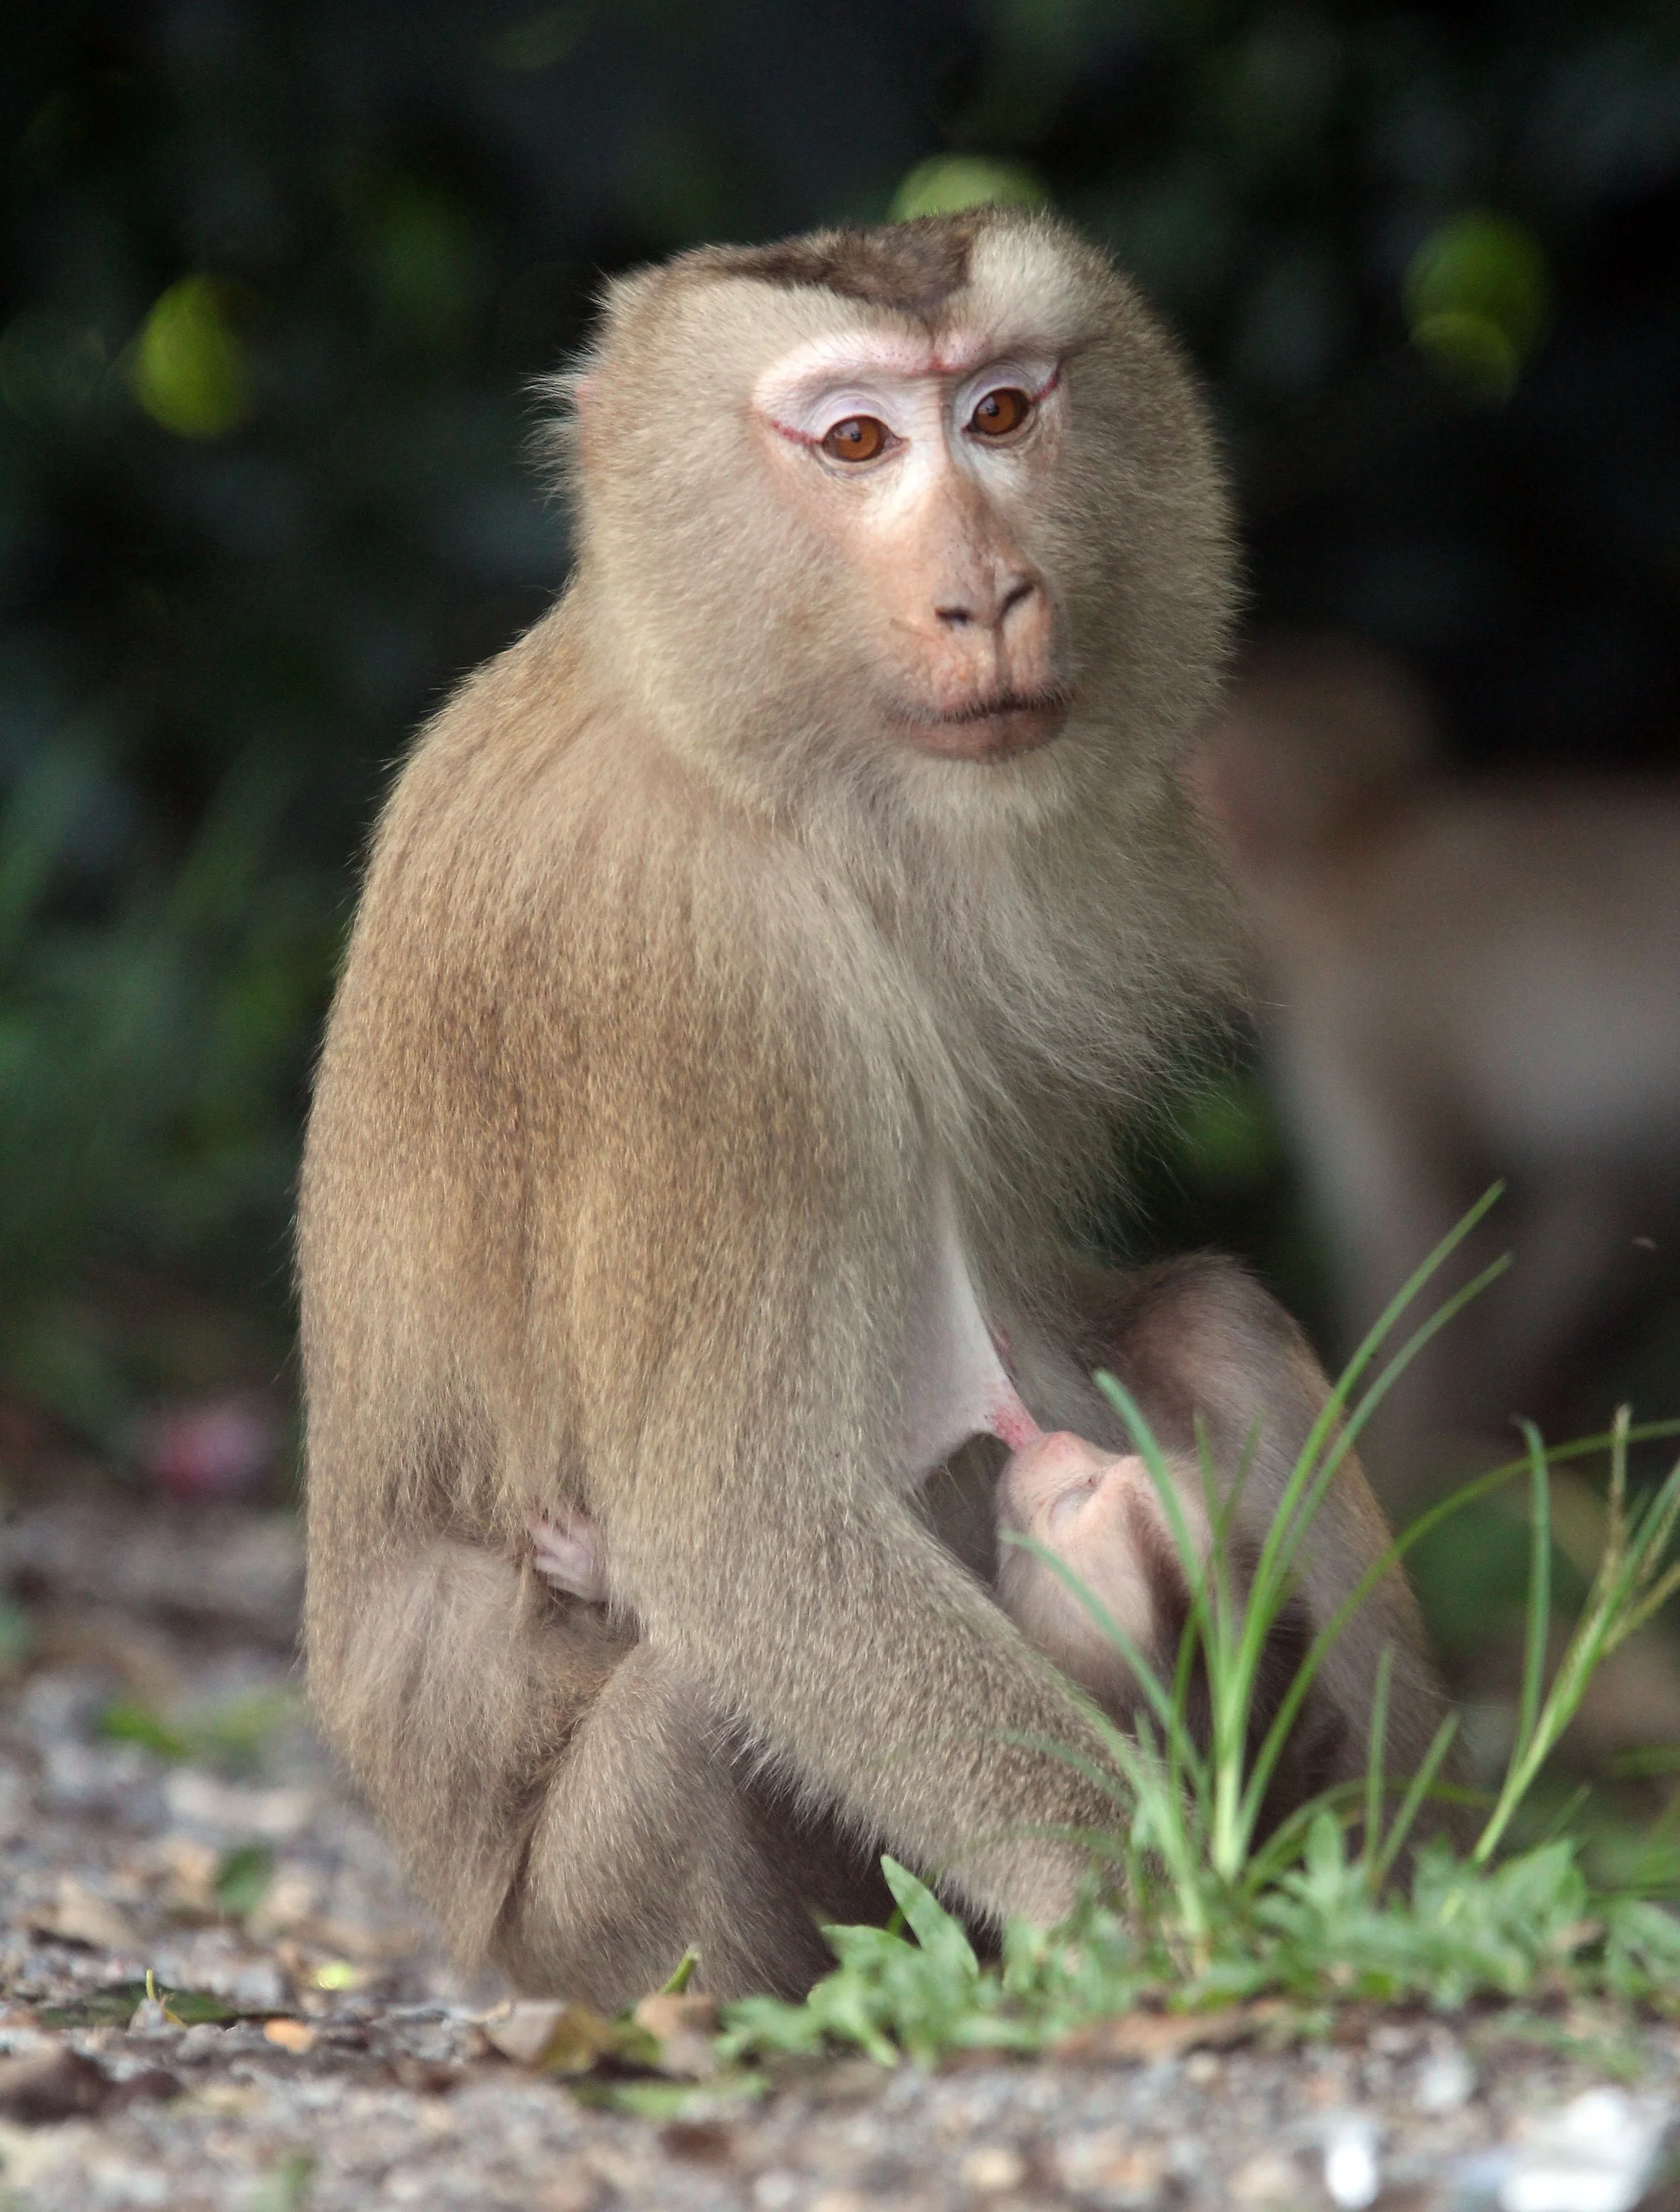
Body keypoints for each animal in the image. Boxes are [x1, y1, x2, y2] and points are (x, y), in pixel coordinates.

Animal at [299, 210, 1443, 2012]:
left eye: (999, 413)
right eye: (854, 443)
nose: (989, 591)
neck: (755, 757)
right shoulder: (701, 983)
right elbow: (745, 1535)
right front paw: (1141, 1905)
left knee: (1208, 1324)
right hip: (595, 1927)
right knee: (696, 1702)